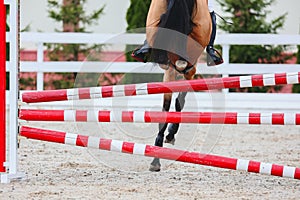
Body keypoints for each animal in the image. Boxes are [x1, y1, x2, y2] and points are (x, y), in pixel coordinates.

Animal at [131, 0, 211, 172]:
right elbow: (181, 100)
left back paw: (156, 157)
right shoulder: (190, 69)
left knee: (165, 107)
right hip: (189, 61)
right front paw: (171, 133)